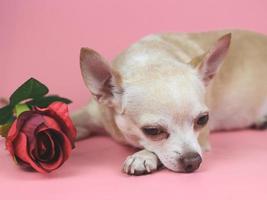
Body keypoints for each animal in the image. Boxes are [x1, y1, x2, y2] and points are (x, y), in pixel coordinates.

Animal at [71, 29, 267, 175]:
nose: (192, 160)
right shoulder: (92, 113)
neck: (151, 58)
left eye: (203, 120)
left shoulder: (202, 140)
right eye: (152, 131)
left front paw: (142, 156)